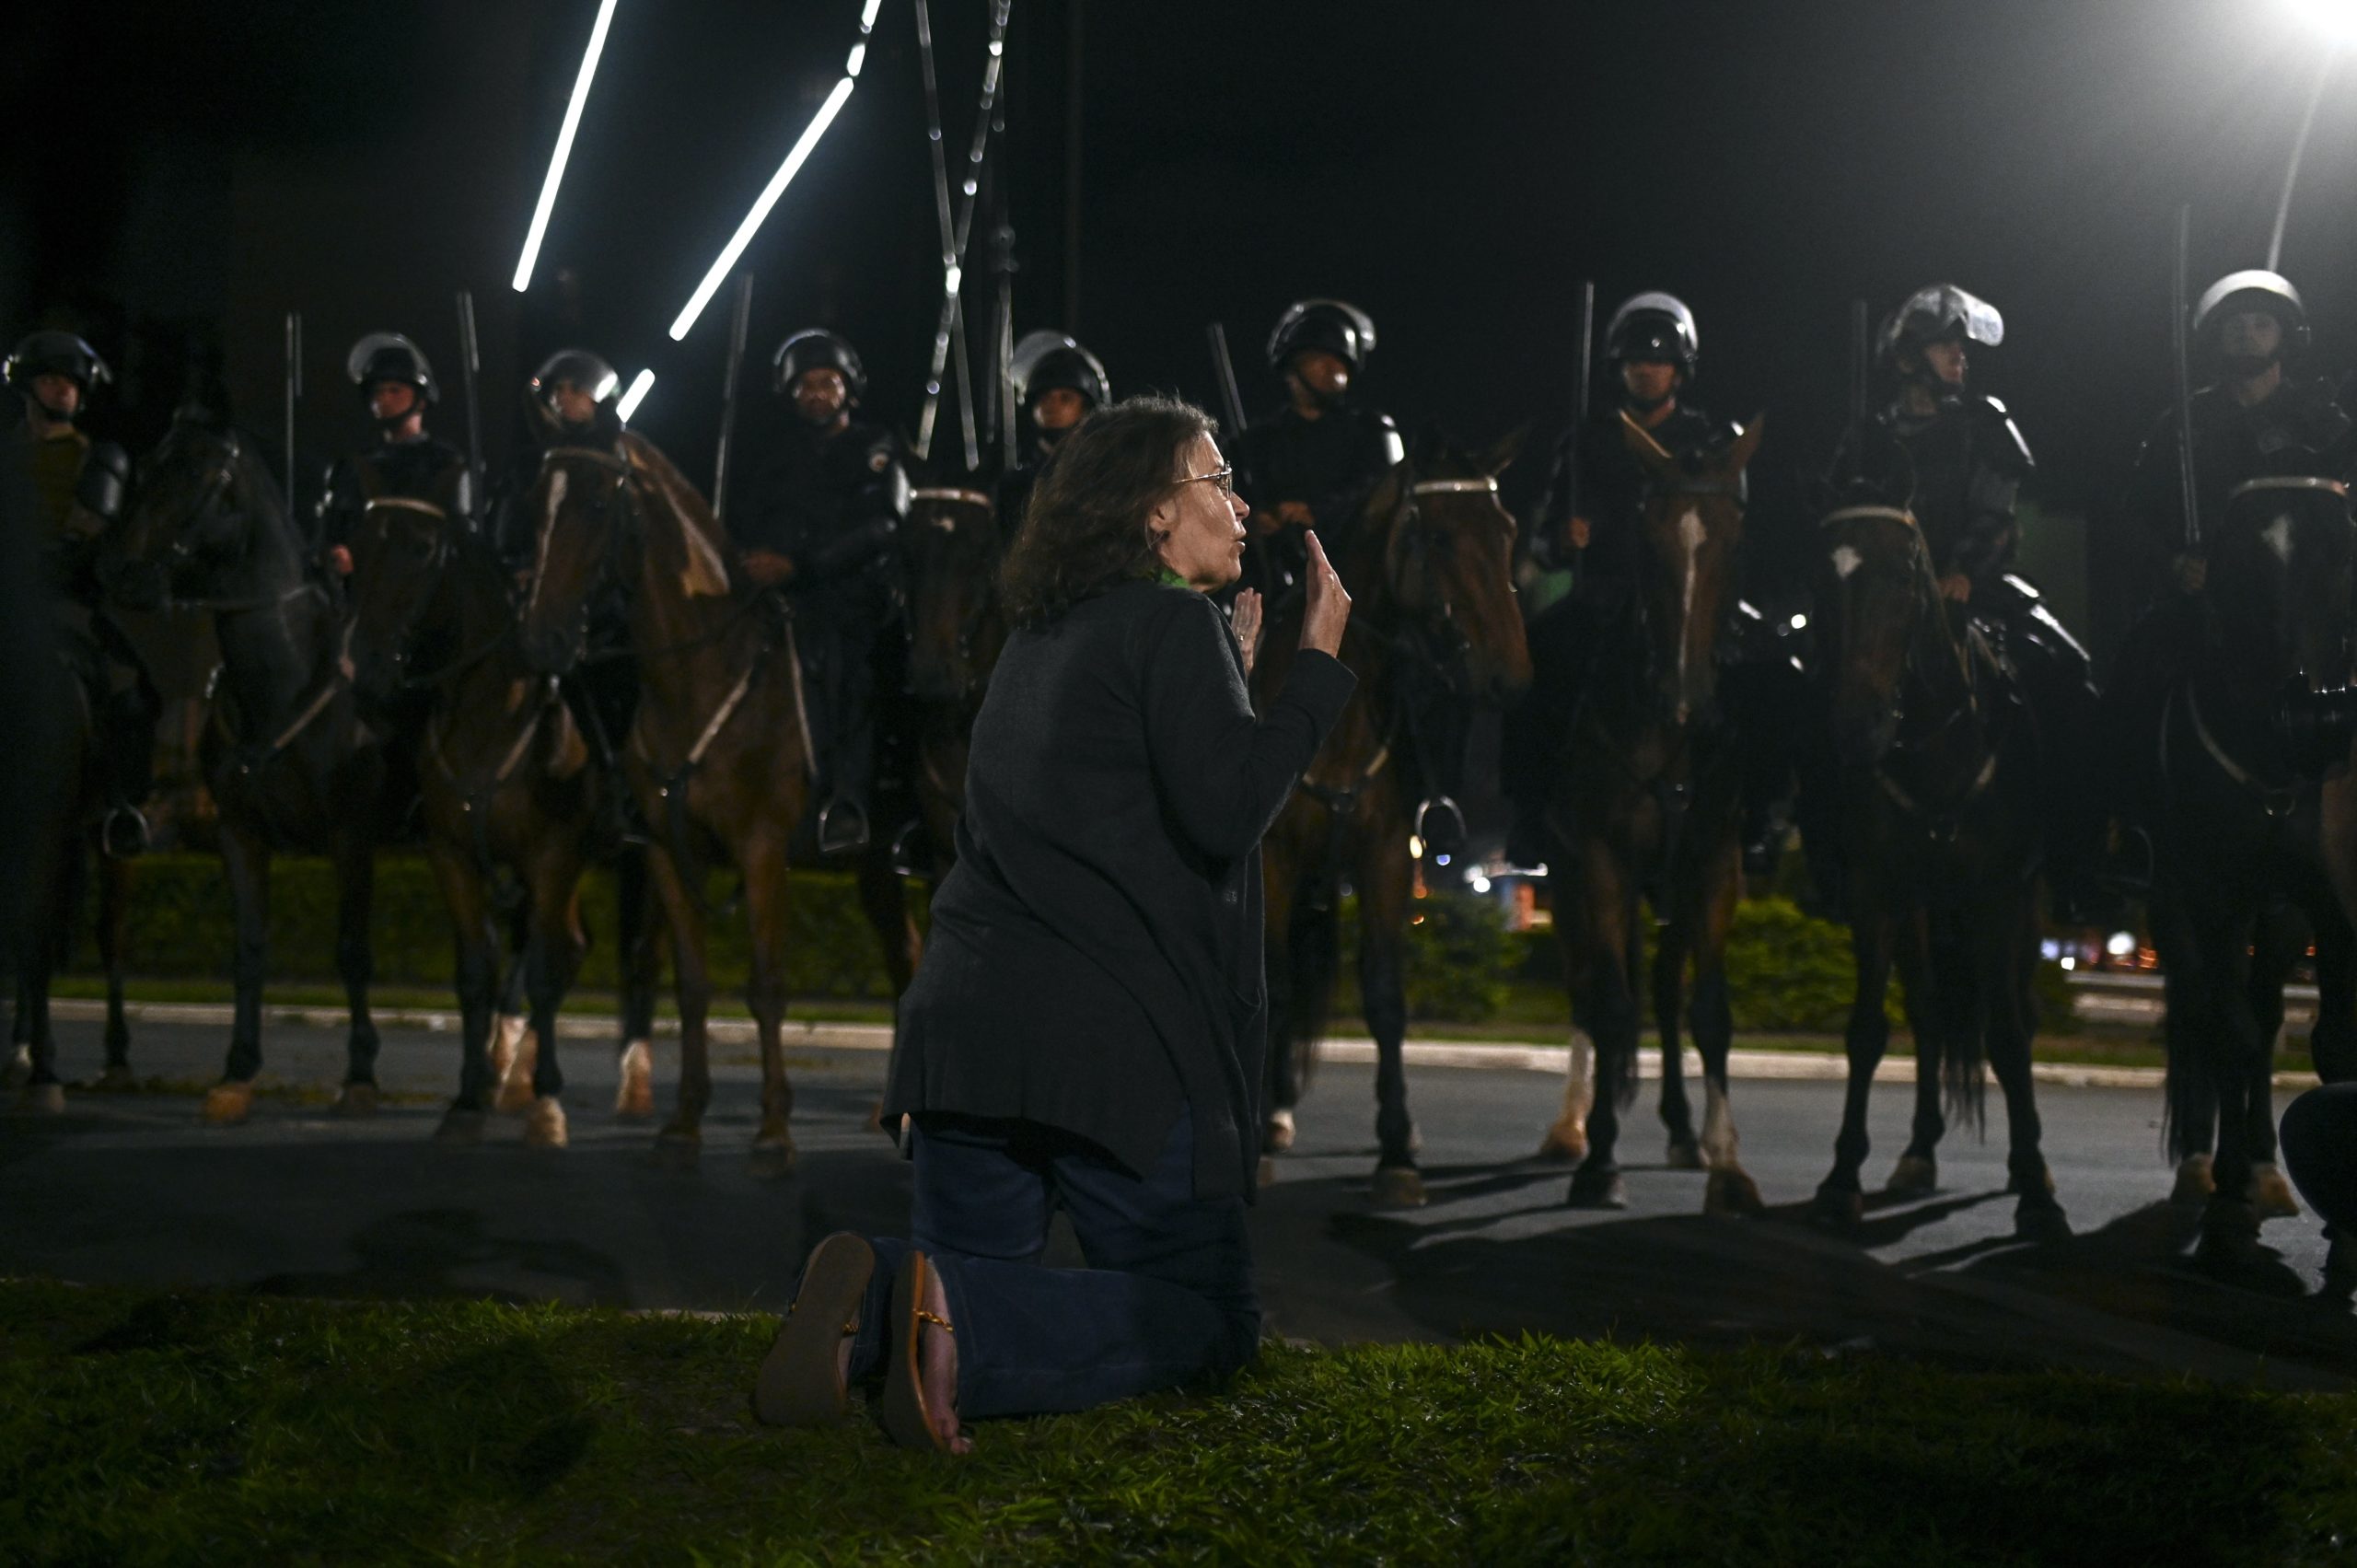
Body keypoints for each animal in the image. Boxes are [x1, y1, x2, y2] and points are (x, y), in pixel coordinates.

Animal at [1253, 429, 1527, 1197]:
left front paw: (1399, 1143)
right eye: (1437, 537)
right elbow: (1275, 979)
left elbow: (1383, 994)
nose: (1512, 676)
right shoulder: (1275, 861)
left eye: (1507, 531)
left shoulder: (1382, 860)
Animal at [1537, 412, 1762, 1207]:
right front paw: (1599, 1161)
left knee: (1664, 992)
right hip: (1569, 870)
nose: (1689, 697)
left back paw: (1680, 1129)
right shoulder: (1603, 860)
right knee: (1586, 986)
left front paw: (1727, 1160)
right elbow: (1608, 1004)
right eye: (1651, 534)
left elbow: (1711, 1011)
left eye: (1733, 536)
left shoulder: (1713, 863)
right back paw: (1571, 1126)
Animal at [1800, 502, 2064, 1235]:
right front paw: (1840, 1178)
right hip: (1923, 912)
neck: (1933, 746)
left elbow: (2008, 1035)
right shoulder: (1877, 895)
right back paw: (1919, 1151)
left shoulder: (1996, 896)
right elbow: (1868, 1031)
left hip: (2025, 909)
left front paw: (2035, 1190)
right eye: (1822, 580)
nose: (1856, 727)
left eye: (1905, 574)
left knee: (2022, 1011)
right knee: (1926, 1010)